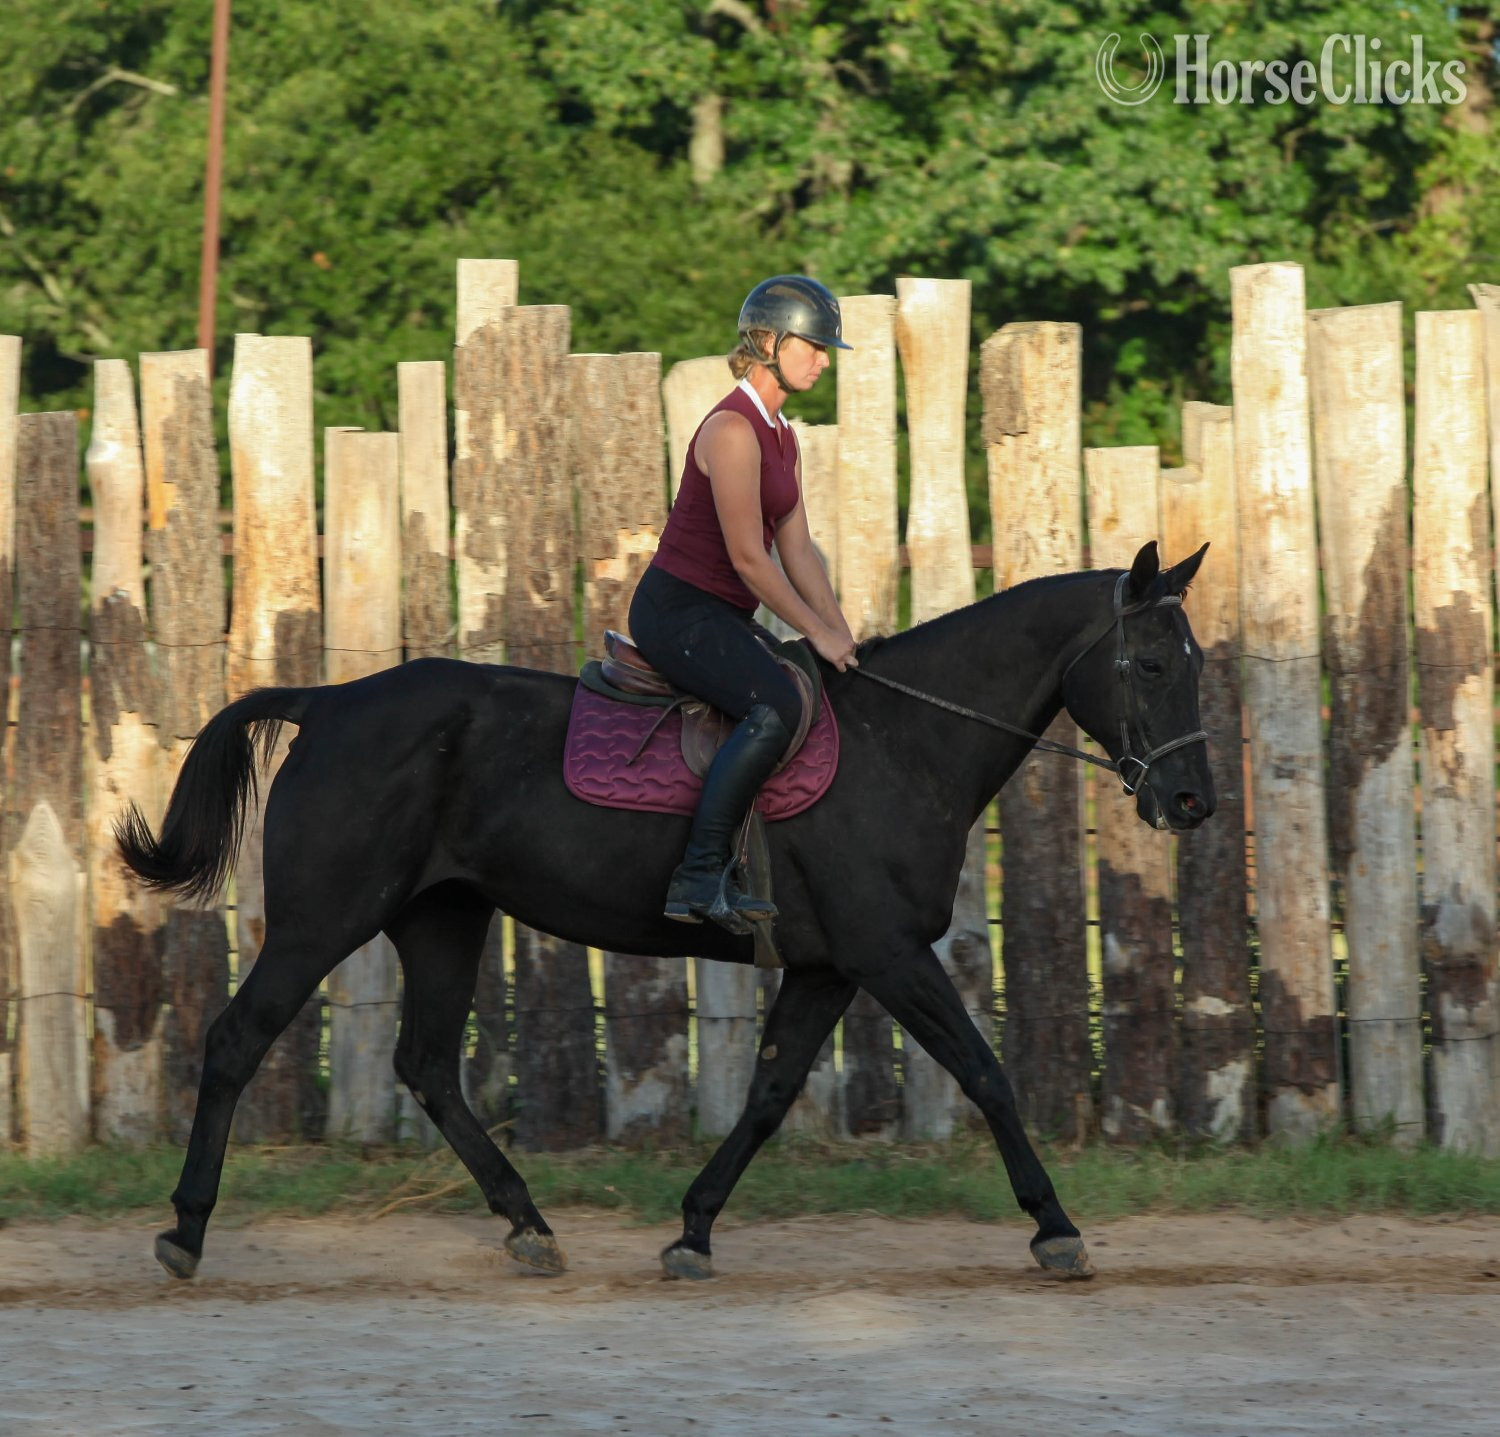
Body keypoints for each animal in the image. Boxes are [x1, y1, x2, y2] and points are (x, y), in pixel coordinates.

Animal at [117, 539, 1214, 1283]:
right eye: (1151, 665)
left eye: (1197, 664)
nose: (1192, 801)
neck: (903, 742)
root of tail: (330, 702)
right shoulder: (889, 955)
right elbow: (986, 1073)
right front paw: (1056, 1228)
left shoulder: (830, 966)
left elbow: (769, 1094)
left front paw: (692, 1228)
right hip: (321, 922)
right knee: (237, 1039)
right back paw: (183, 1229)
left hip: (444, 918)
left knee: (426, 1066)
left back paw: (528, 1224)